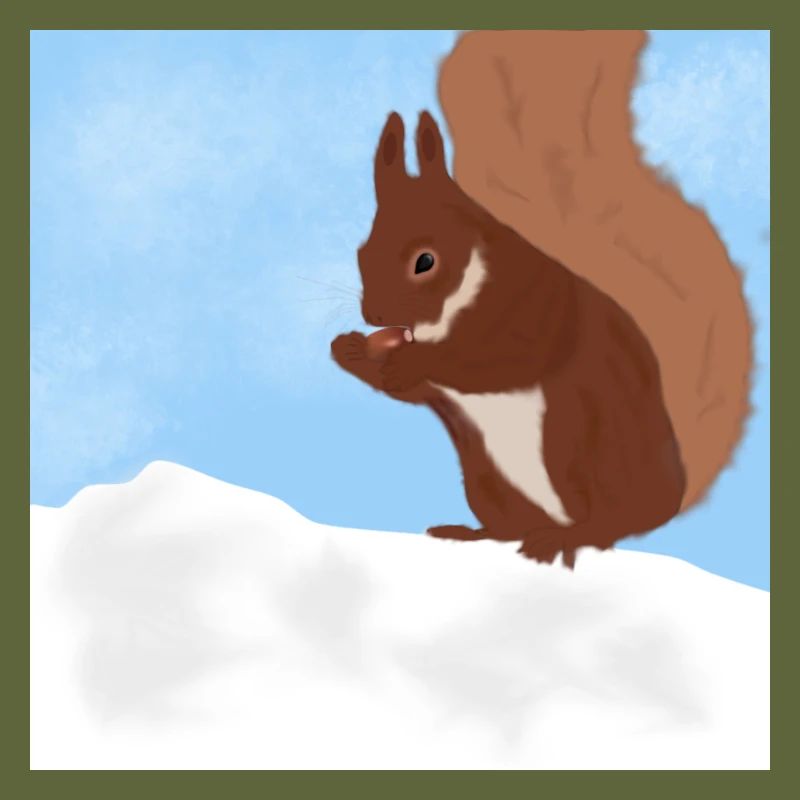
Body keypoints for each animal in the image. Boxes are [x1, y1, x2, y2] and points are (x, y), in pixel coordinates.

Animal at [331, 30, 752, 567]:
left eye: (425, 261)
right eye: (362, 251)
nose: (374, 315)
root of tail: (668, 499)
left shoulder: (536, 307)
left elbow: (494, 358)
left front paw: (411, 360)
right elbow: (408, 388)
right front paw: (349, 349)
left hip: (582, 445)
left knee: (608, 527)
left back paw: (567, 538)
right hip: (486, 479)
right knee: (510, 527)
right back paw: (471, 533)